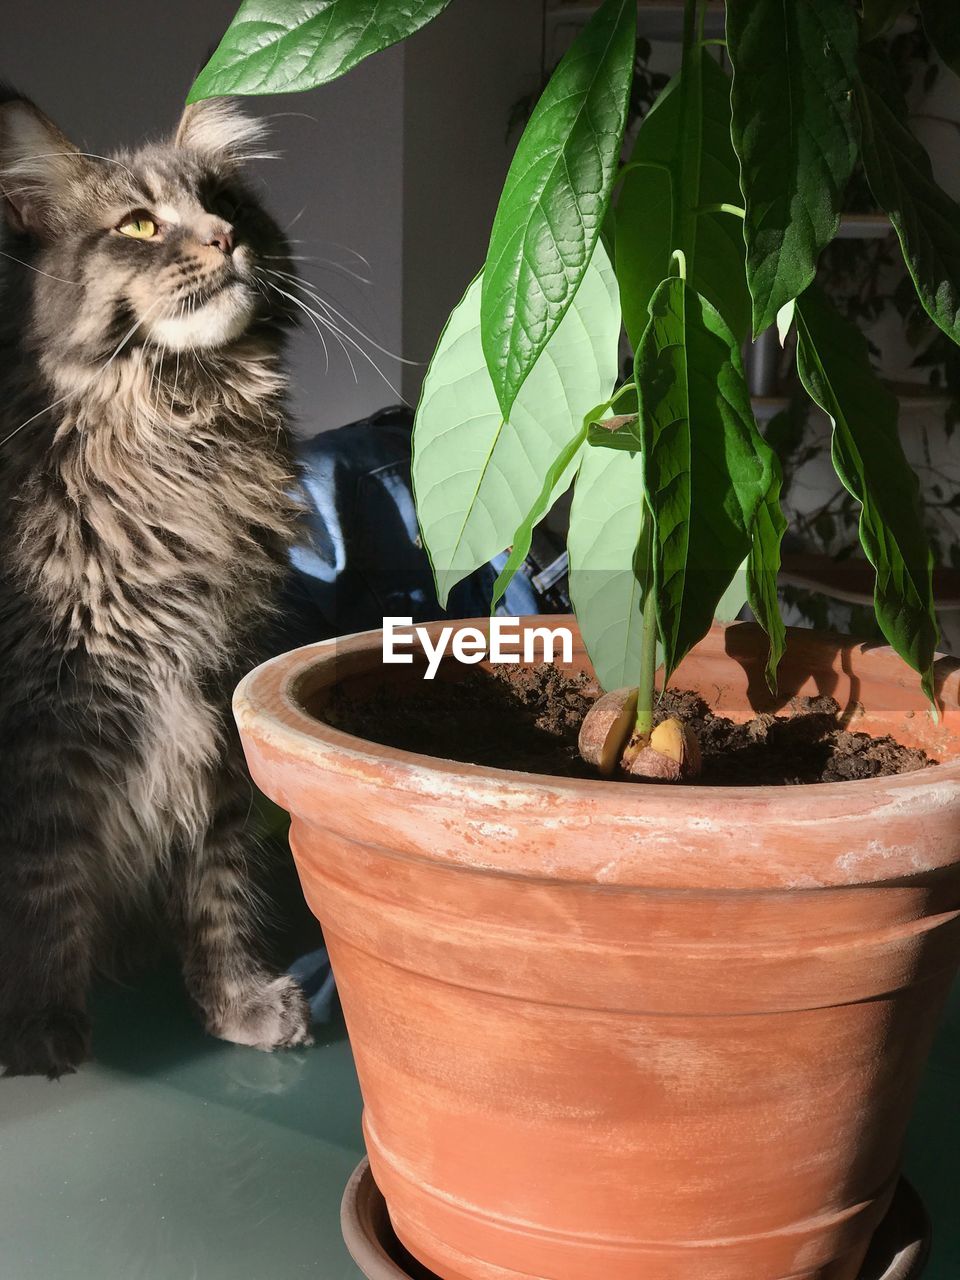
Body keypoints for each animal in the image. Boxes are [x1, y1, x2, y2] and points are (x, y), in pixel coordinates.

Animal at [0, 85, 312, 1075]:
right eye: (139, 225)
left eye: (228, 203)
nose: (224, 237)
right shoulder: (53, 719)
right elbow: (48, 886)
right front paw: (42, 1029)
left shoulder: (213, 693)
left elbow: (219, 881)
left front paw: (233, 998)